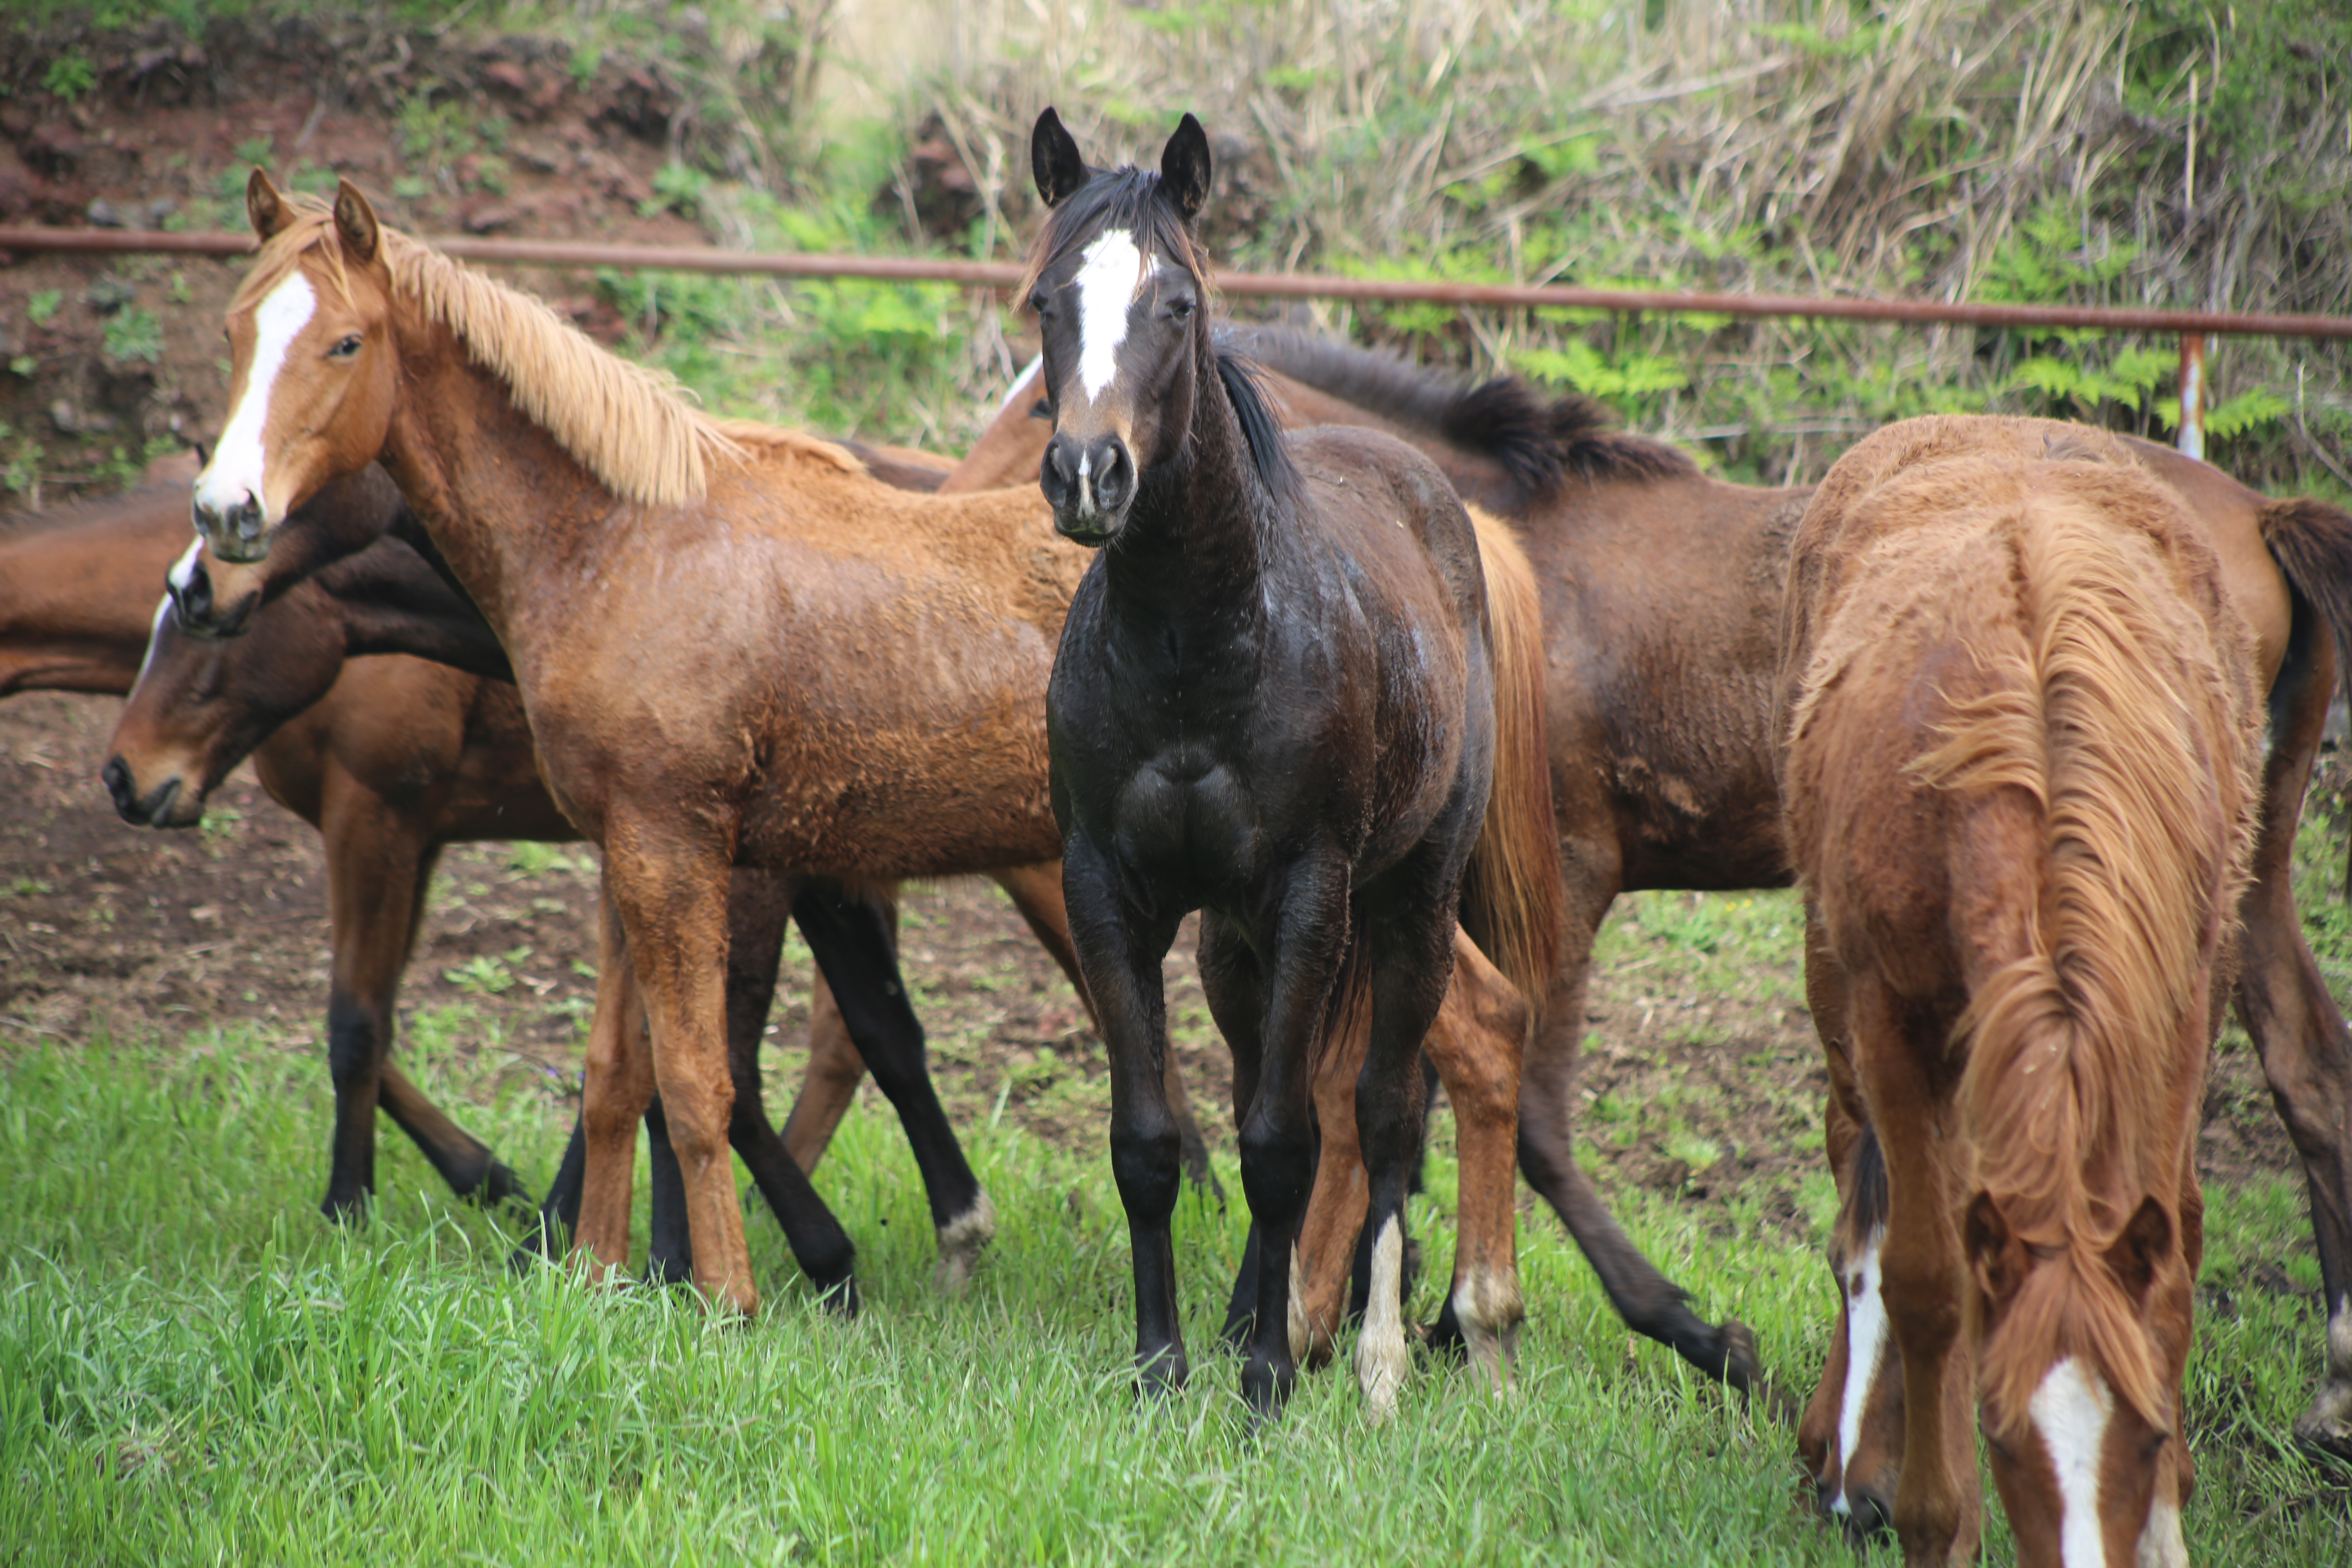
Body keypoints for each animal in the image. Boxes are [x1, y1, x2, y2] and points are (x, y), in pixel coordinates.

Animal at [1778, 416, 2258, 1568]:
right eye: (2001, 1436)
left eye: (2148, 1428)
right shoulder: (1890, 1019)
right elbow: (1924, 1275)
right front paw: (1932, 1516)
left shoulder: (2171, 1017)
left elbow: (2169, 1272)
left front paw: (2164, 1524)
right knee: (1868, 1191)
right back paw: (1852, 1452)